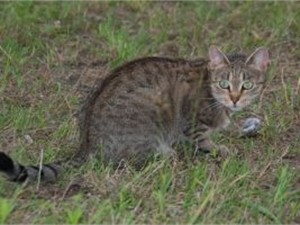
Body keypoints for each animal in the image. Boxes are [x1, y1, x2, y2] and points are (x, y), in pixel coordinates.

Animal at [0, 45, 268, 183]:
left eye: (247, 85)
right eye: (224, 84)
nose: (235, 98)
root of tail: (86, 144)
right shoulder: (192, 124)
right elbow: (204, 141)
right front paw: (221, 150)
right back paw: (166, 155)